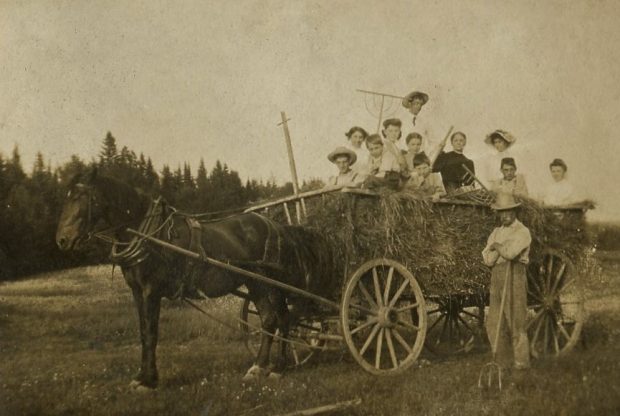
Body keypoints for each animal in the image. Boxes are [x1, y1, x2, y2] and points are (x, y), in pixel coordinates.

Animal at [54, 168, 334, 390]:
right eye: (65, 198)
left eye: (81, 198)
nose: (62, 240)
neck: (150, 236)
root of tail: (277, 226)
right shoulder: (137, 291)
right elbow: (143, 333)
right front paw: (142, 377)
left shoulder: (151, 290)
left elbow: (151, 333)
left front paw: (149, 381)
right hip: (256, 283)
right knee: (270, 318)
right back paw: (259, 367)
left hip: (268, 282)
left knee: (282, 318)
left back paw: (277, 368)